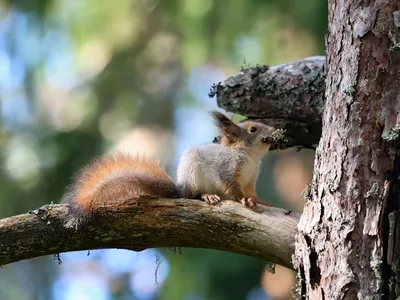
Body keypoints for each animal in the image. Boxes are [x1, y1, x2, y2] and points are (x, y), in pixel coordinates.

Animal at [62, 111, 274, 219]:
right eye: (253, 129)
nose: (272, 130)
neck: (251, 157)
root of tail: (180, 188)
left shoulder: (250, 179)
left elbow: (251, 191)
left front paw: (259, 200)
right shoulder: (227, 168)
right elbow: (231, 187)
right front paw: (242, 200)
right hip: (193, 176)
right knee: (192, 195)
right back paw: (207, 195)